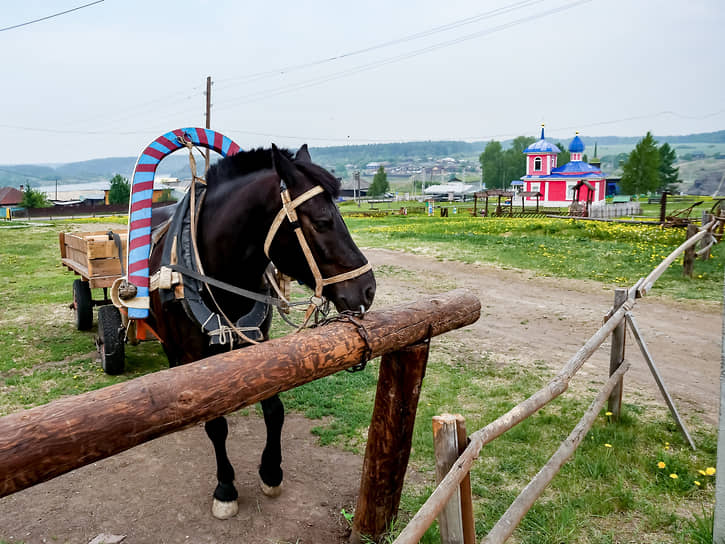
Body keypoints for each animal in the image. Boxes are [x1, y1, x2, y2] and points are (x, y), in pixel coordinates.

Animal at [145, 142, 376, 520]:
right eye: (323, 221)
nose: (367, 289)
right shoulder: (197, 354)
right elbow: (216, 425)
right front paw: (225, 488)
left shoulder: (260, 345)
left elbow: (274, 410)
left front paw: (271, 471)